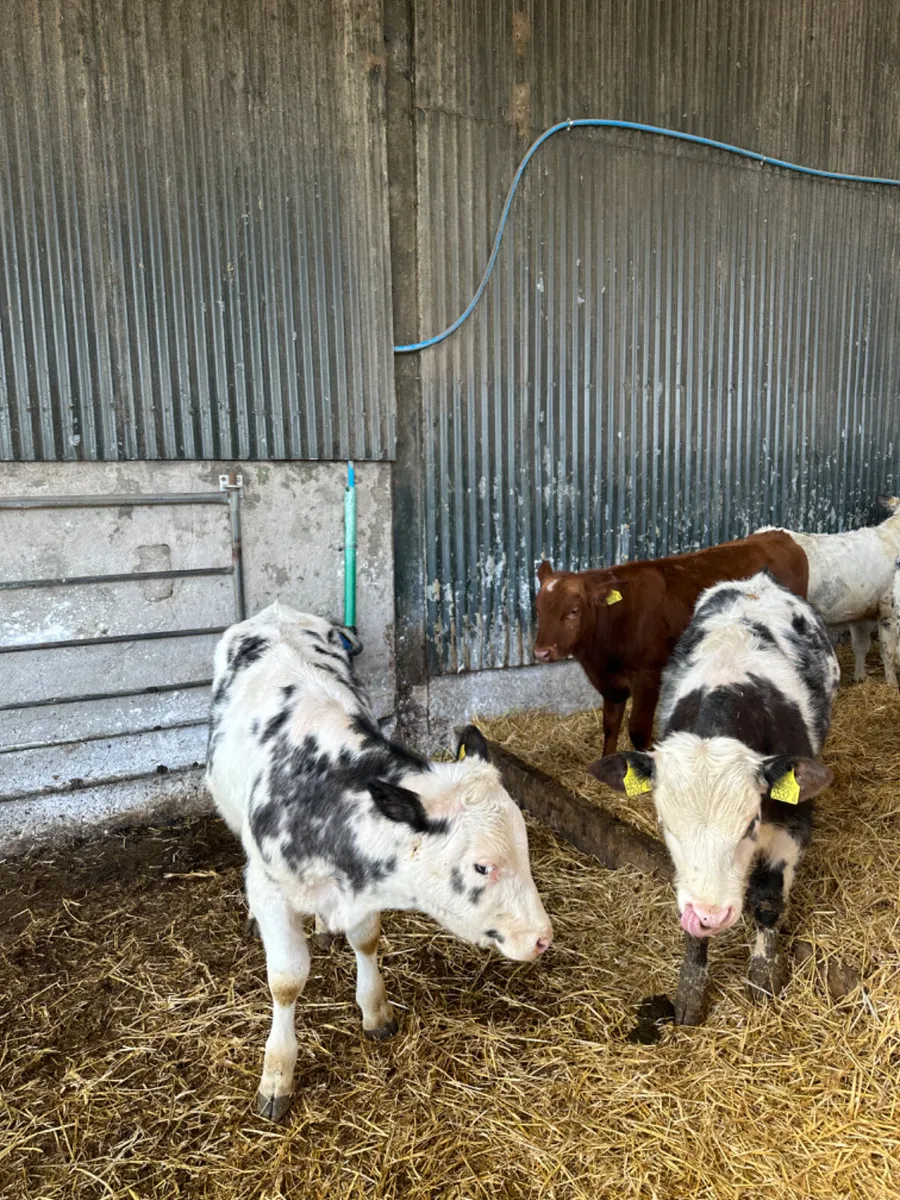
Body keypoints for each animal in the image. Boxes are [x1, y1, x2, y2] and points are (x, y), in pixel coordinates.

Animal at [206, 602, 552, 1120]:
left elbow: (366, 940)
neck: (322, 790)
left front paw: (375, 1010)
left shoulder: (362, 885)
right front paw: (277, 1074)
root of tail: (276, 611)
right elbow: (286, 981)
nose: (542, 939)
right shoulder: (272, 885)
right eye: (482, 866)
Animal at [533, 531, 809, 757]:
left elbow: (638, 730)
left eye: (573, 611)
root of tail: (780, 537)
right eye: (538, 609)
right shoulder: (610, 682)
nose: (541, 652)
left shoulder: (648, 677)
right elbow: (610, 725)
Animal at [589, 572, 838, 1025]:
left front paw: (763, 975)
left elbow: (768, 897)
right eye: (665, 825)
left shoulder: (794, 821)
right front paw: (690, 990)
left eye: (750, 824)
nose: (712, 914)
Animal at [759, 495, 900, 684]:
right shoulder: (888, 610)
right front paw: (891, 683)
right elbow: (888, 652)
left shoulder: (859, 610)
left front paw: (859, 677)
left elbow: (860, 646)